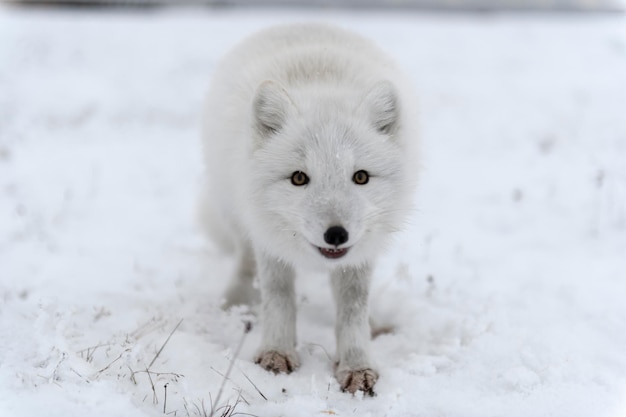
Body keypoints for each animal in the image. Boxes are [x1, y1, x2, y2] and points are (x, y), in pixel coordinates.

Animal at [199, 22, 414, 394]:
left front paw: (357, 365)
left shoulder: (359, 256)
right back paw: (236, 306)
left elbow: (354, 307)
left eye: (360, 176)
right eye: (299, 178)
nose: (336, 235)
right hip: (239, 217)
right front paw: (276, 353)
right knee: (245, 263)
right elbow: (278, 296)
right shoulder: (269, 241)